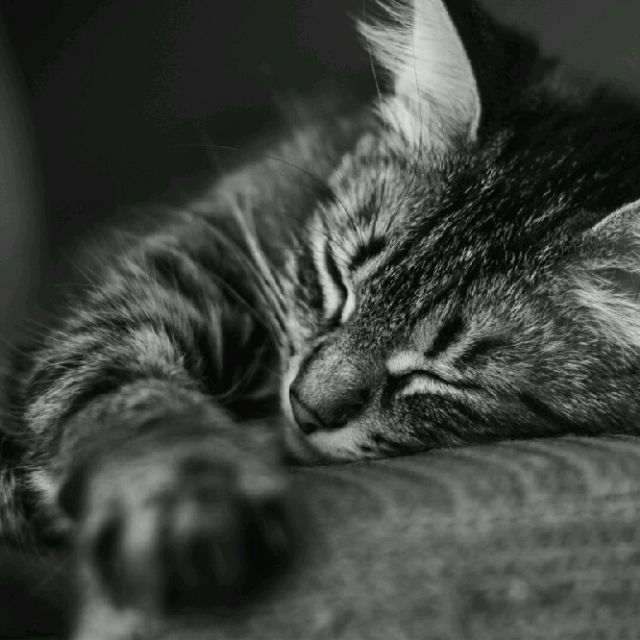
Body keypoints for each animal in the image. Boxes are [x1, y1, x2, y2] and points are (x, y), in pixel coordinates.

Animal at [3, 0, 640, 632]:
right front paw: (179, 499)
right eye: (337, 278)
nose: (304, 407)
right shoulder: (180, 269)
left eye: (437, 375)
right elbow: (132, 398)